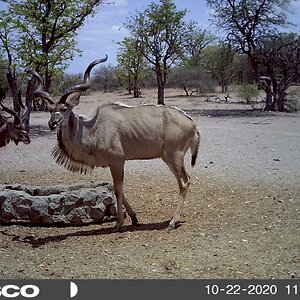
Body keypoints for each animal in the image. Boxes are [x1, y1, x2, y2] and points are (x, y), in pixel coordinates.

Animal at [27, 55, 199, 231]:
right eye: (50, 109)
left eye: (64, 109)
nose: (52, 124)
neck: (94, 128)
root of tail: (192, 124)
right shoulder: (113, 163)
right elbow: (120, 189)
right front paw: (134, 218)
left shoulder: (117, 161)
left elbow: (117, 189)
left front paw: (119, 223)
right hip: (170, 159)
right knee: (185, 181)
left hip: (173, 157)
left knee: (185, 183)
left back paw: (172, 222)